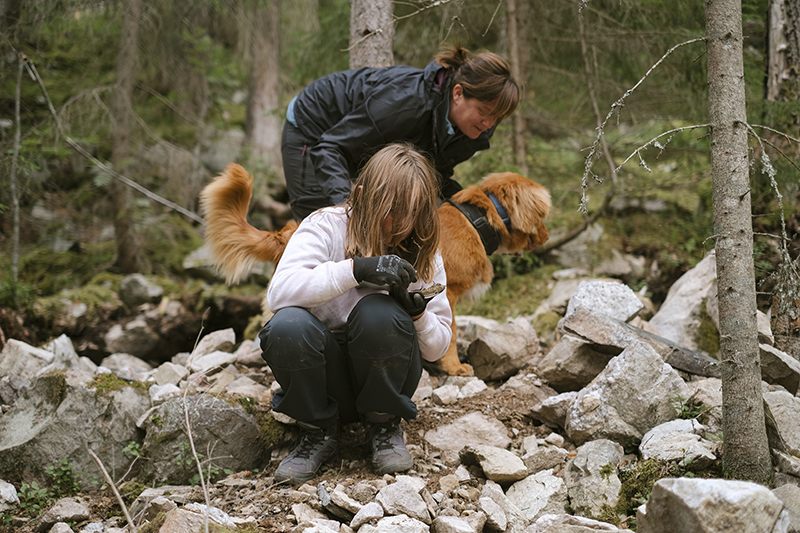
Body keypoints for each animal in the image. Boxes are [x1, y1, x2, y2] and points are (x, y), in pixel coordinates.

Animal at [200, 162, 552, 374]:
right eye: (544, 215)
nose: (548, 236)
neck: (477, 221)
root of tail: (287, 231)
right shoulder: (449, 293)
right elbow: (450, 333)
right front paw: (453, 367)